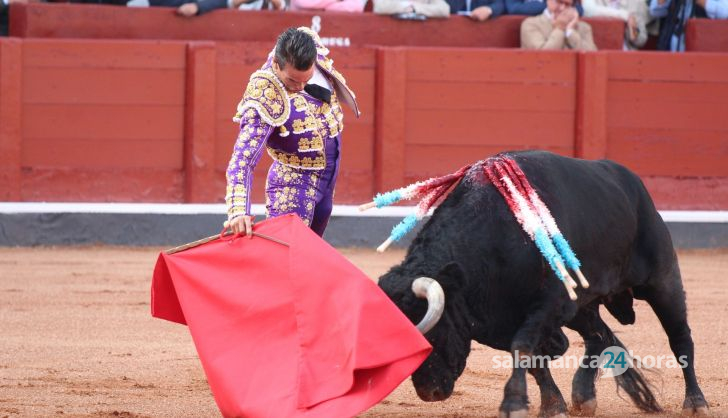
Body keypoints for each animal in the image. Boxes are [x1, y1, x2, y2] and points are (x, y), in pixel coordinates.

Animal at [378, 151, 708, 418]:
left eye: (432, 336)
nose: (429, 392)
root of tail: (633, 183)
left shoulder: (549, 304)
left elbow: (523, 348)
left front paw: (514, 404)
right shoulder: (519, 315)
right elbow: (536, 357)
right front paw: (553, 405)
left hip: (663, 281)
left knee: (680, 337)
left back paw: (696, 403)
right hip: (582, 304)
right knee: (598, 336)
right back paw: (583, 396)